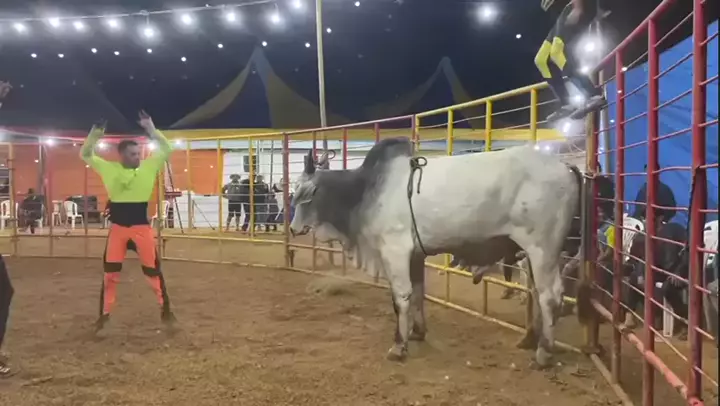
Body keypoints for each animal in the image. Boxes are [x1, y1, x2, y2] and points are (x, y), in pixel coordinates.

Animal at [289, 137, 591, 367]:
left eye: (306, 192)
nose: (293, 228)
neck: (365, 190)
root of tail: (565, 165)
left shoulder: (395, 251)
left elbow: (401, 297)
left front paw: (398, 346)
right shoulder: (414, 255)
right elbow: (418, 293)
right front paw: (417, 332)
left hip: (543, 249)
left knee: (550, 296)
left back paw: (544, 352)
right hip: (533, 254)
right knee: (537, 294)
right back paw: (530, 339)